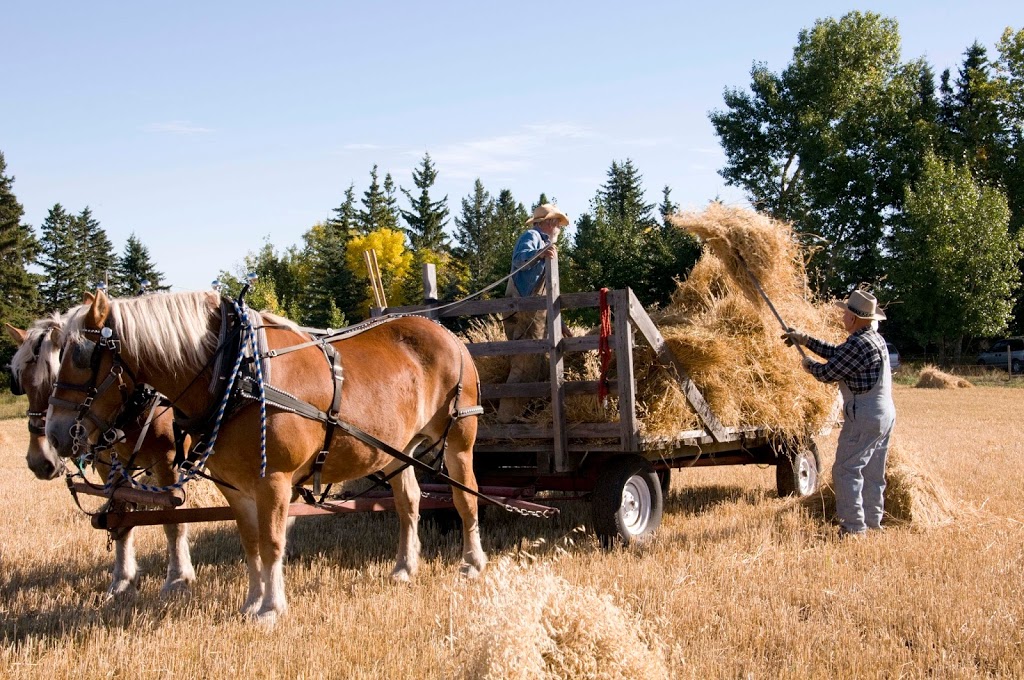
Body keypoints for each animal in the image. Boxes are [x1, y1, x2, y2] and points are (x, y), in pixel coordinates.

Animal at [7, 307, 196, 593]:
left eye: (54, 379)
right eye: (24, 384)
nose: (40, 461)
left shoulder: (168, 462)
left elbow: (173, 521)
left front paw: (177, 578)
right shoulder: (109, 464)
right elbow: (120, 519)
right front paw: (122, 580)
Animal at [49, 286, 489, 622]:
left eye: (83, 356)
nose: (56, 433)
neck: (235, 372)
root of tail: (446, 332)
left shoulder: (274, 479)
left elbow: (273, 543)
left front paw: (271, 609)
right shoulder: (234, 486)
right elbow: (251, 544)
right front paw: (251, 602)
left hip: (459, 440)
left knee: (465, 498)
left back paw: (472, 562)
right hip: (399, 449)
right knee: (408, 503)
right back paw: (404, 567)